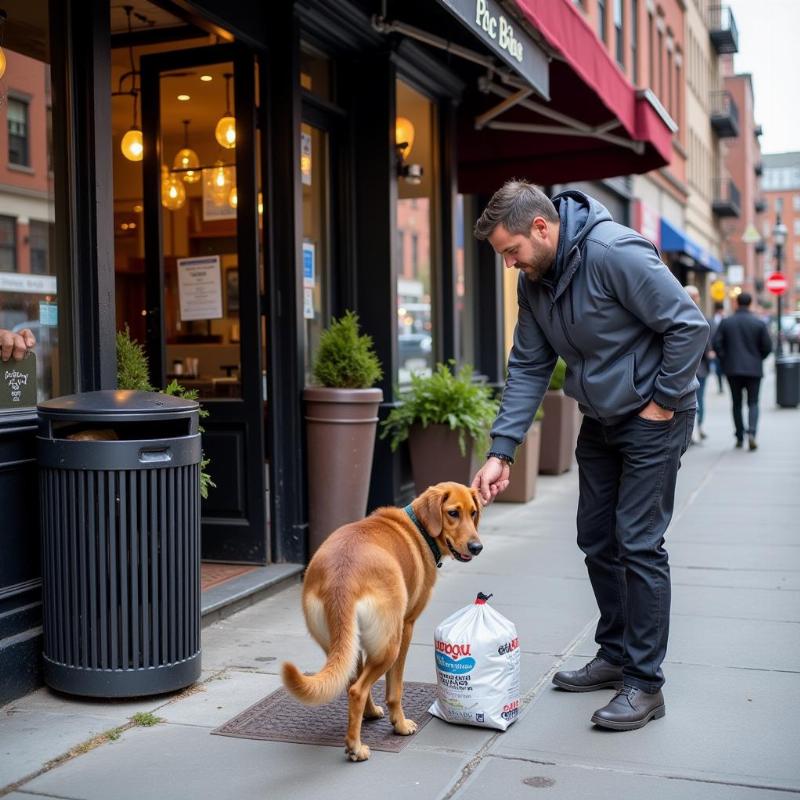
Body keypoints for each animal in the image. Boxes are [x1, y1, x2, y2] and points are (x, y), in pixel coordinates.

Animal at [282, 482, 482, 764]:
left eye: (473, 513)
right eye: (453, 513)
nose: (477, 547)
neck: (418, 528)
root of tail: (341, 579)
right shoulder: (407, 627)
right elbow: (395, 690)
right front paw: (400, 724)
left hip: (345, 645)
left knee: (352, 683)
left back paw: (362, 721)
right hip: (390, 645)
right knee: (358, 689)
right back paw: (355, 748)